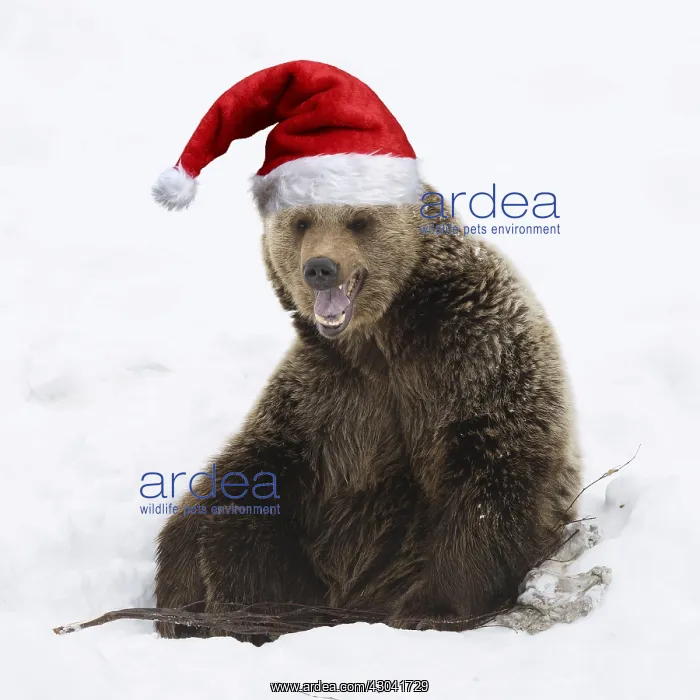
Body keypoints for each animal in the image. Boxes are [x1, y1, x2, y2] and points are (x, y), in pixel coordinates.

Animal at [154, 189, 582, 643]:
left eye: (358, 221)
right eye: (302, 222)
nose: (320, 268)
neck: (382, 338)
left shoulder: (481, 359)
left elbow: (489, 481)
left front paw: (430, 608)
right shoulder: (325, 397)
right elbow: (254, 480)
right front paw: (227, 598)